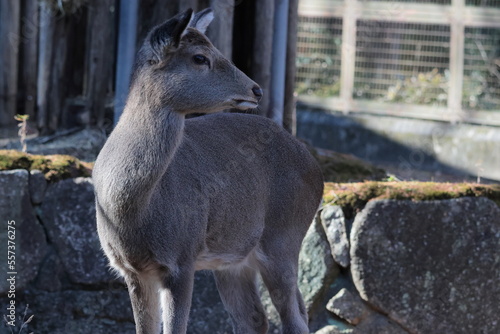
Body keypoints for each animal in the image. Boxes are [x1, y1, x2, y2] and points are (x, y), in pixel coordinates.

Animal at [92, 7, 322, 334]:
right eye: (200, 57)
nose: (256, 89)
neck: (131, 210)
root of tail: (316, 167)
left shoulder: (182, 257)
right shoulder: (131, 269)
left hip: (285, 236)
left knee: (293, 319)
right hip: (234, 259)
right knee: (259, 317)